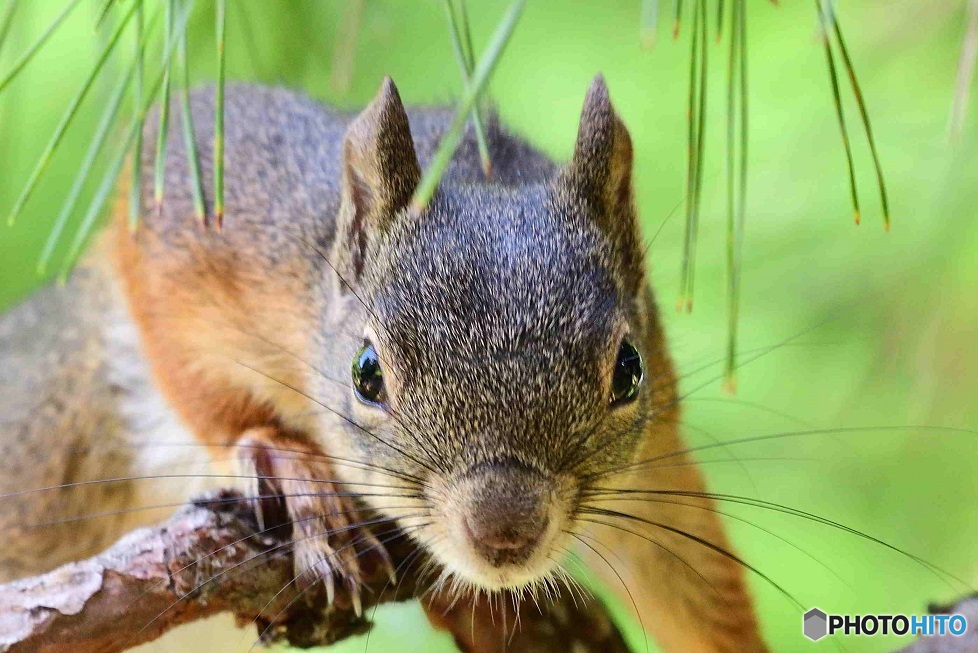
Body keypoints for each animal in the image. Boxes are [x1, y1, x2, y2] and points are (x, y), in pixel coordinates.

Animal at [0, 75, 764, 648]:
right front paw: (286, 461)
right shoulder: (211, 207)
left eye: (628, 370)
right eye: (366, 373)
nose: (504, 531)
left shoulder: (657, 457)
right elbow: (185, 357)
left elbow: (697, 582)